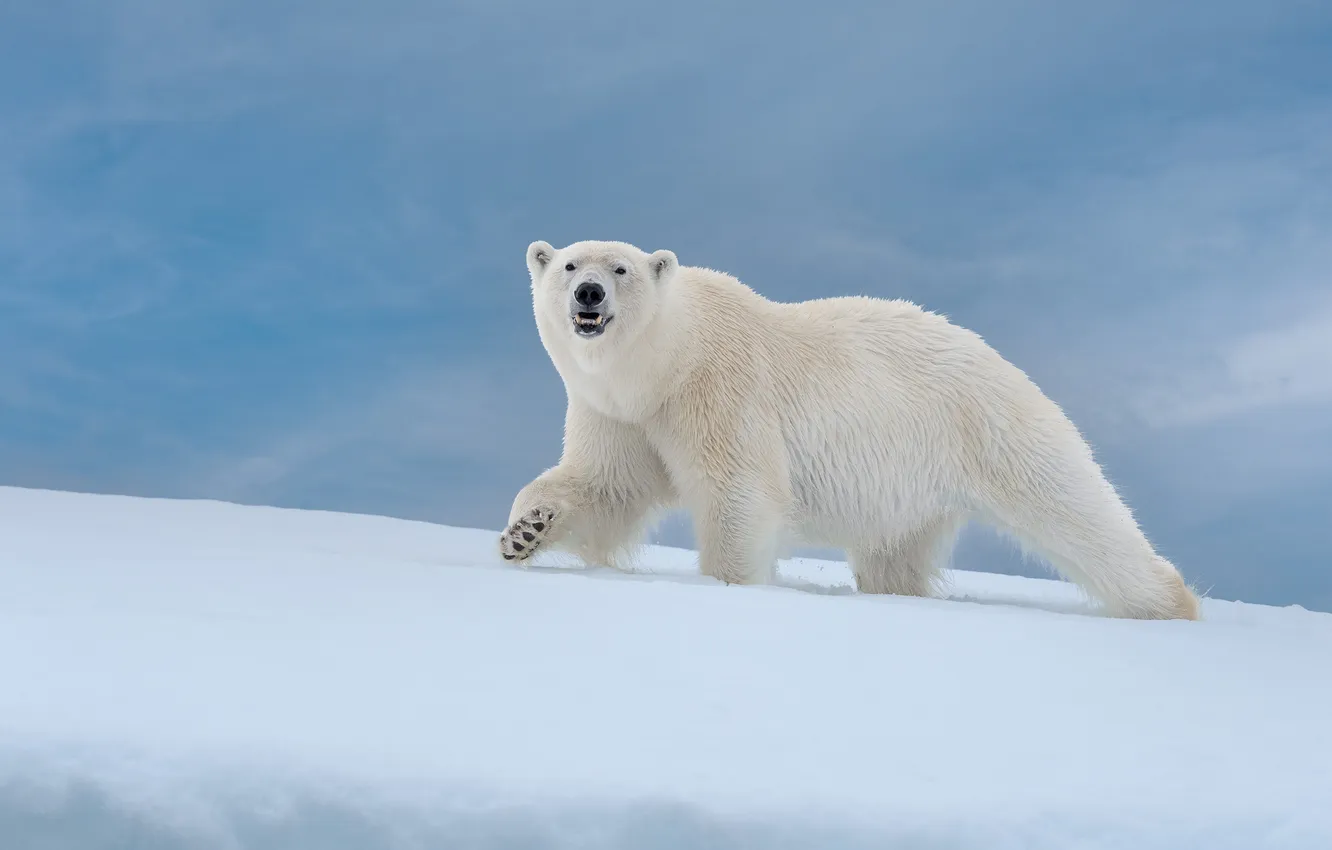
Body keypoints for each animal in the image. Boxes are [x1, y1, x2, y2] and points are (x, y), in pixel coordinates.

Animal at [499, 239, 1200, 621]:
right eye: (568, 266)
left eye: (620, 269)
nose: (589, 294)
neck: (667, 363)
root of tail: (999, 358)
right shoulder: (622, 414)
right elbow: (606, 484)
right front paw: (524, 532)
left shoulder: (723, 390)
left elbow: (739, 494)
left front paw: (729, 586)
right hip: (909, 489)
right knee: (893, 557)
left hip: (993, 426)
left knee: (1077, 511)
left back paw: (1170, 603)